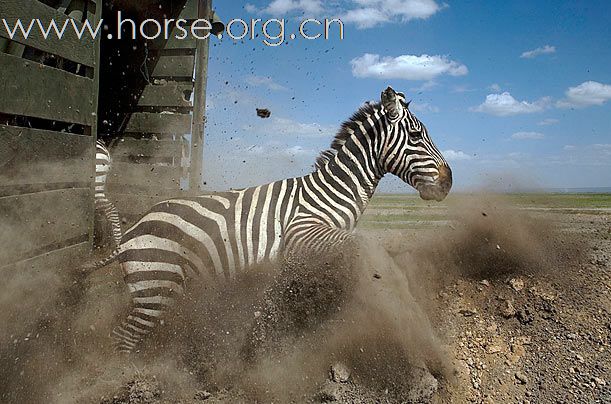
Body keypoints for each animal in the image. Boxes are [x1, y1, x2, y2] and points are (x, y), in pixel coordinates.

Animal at [98, 87, 452, 352]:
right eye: (417, 135)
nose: (449, 182)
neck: (332, 190)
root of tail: (130, 232)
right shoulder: (302, 232)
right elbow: (359, 244)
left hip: (162, 290)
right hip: (155, 288)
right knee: (122, 340)